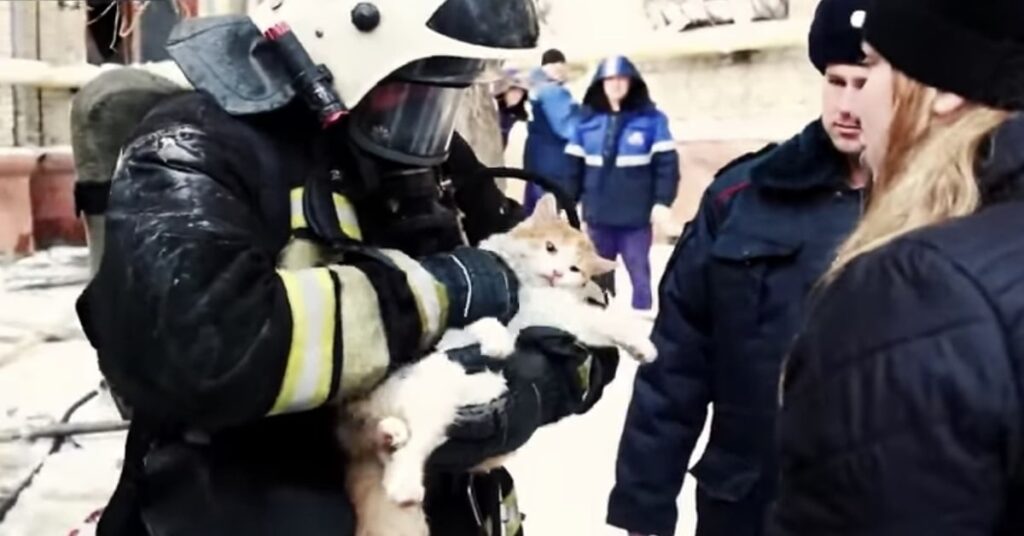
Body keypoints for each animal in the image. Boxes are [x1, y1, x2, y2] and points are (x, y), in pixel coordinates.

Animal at [335, 193, 655, 536]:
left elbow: (602, 322)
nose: (557, 273)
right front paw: (496, 339)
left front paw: (641, 346)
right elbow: (482, 321)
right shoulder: (457, 325)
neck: (531, 292)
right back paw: (404, 479)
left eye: (574, 268)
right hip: (428, 389)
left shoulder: (563, 317)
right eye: (550, 247)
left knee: (400, 444)